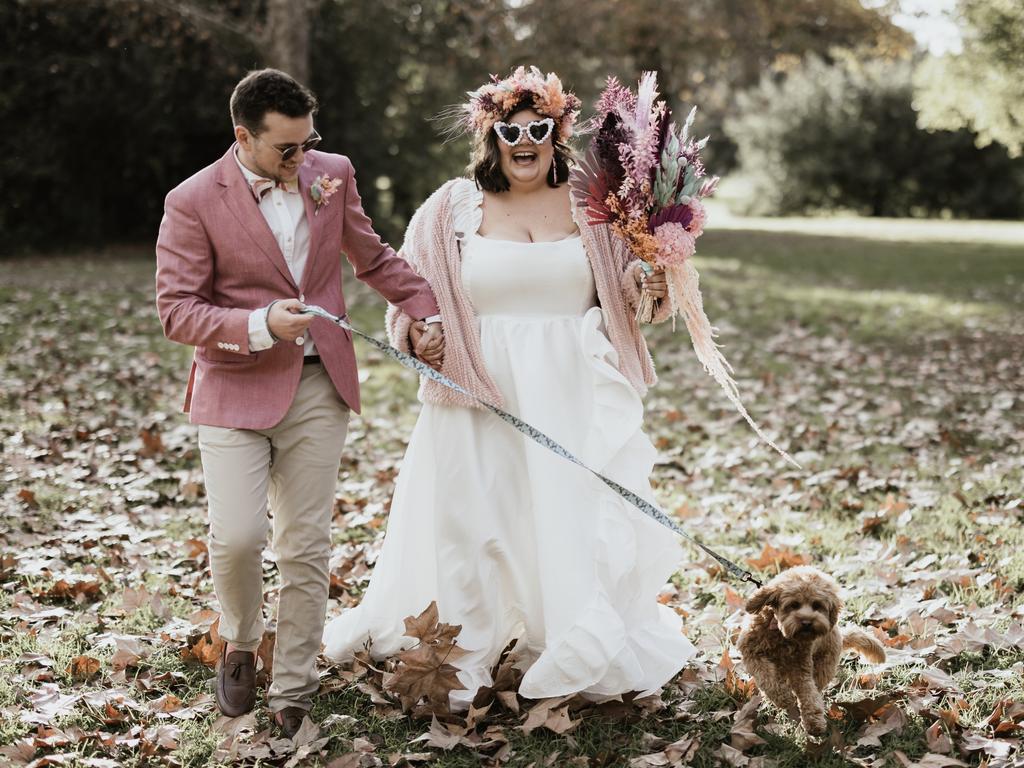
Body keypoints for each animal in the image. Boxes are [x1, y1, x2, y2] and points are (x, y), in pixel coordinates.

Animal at [737, 569, 888, 737]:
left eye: (817, 605)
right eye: (793, 605)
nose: (807, 622)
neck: (781, 635)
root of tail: (839, 635)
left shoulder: (801, 667)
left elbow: (808, 693)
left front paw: (814, 722)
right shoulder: (751, 652)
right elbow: (767, 677)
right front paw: (782, 697)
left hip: (823, 665)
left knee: (816, 686)